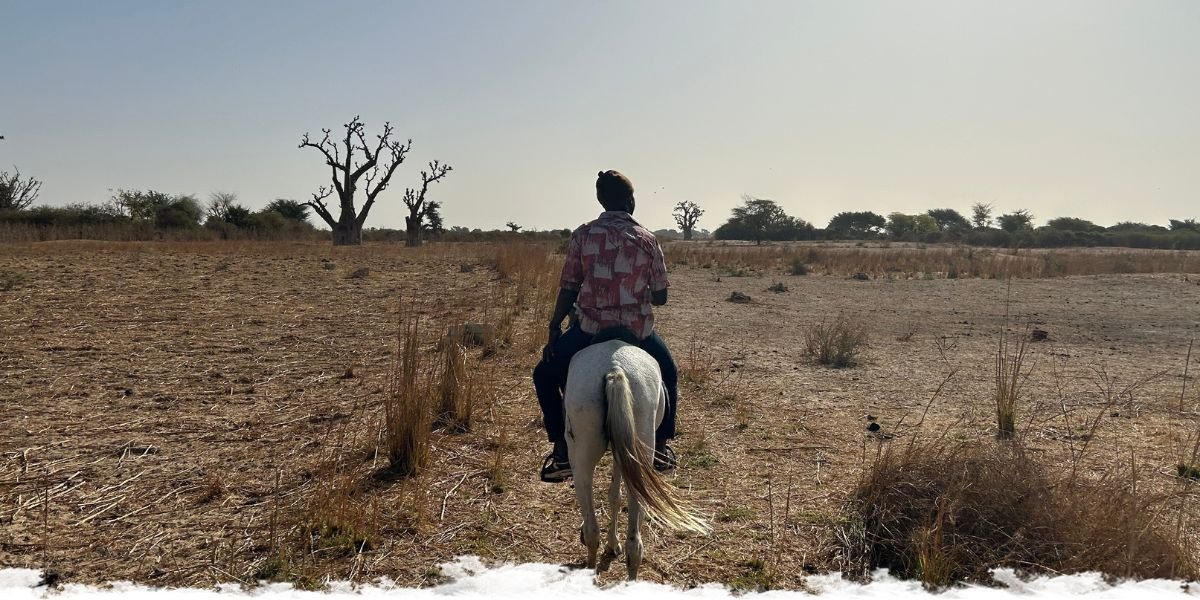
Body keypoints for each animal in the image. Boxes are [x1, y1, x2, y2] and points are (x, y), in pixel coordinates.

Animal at [559, 336, 700, 578]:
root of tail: (615, 369)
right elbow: (614, 494)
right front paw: (613, 544)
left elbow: (613, 494)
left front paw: (612, 544)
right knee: (633, 542)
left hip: (583, 460)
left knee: (593, 530)